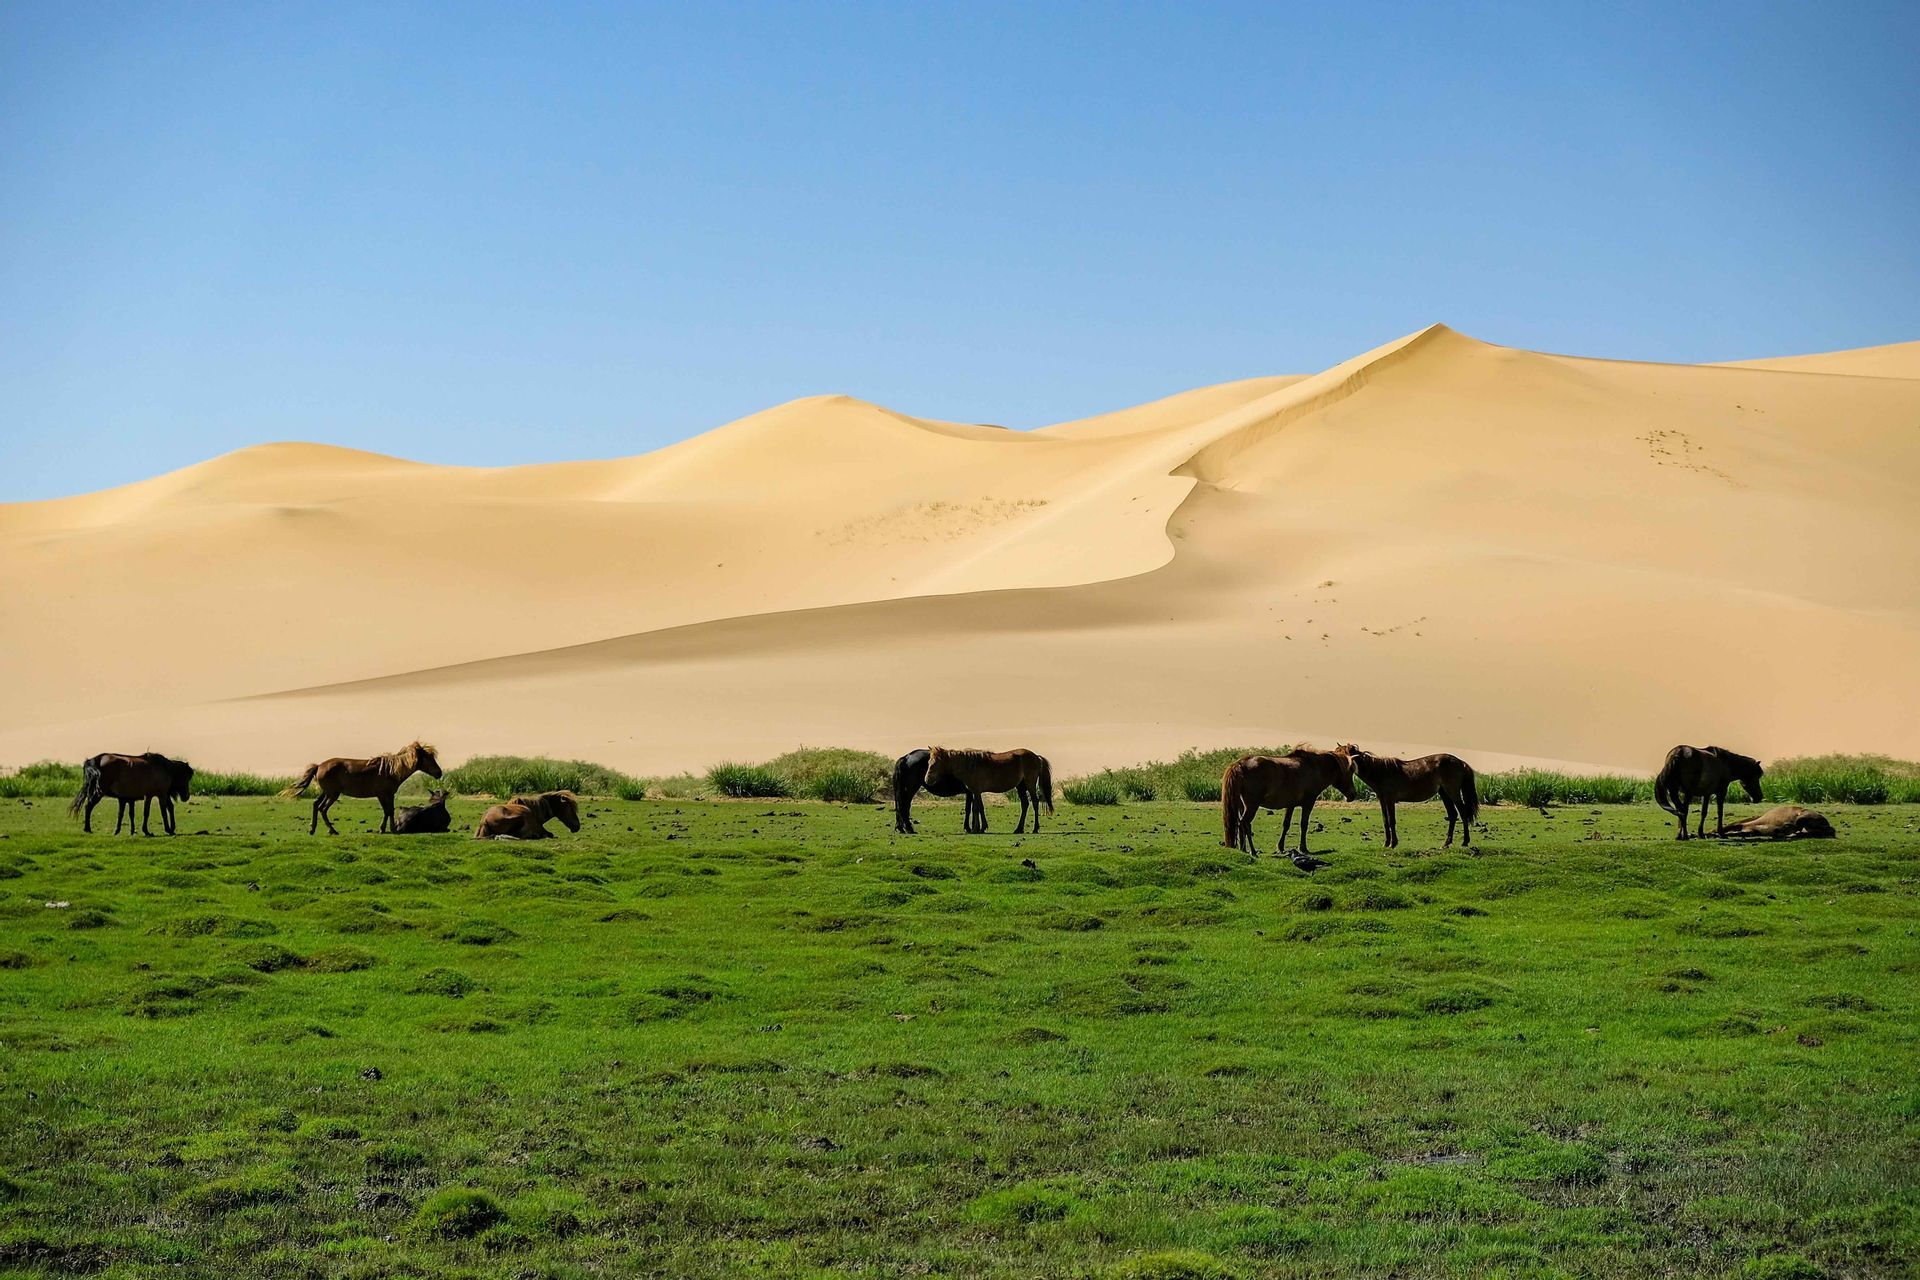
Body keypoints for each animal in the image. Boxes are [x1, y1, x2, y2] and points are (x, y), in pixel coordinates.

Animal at [280, 741, 443, 835]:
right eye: (429, 758)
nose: (439, 773)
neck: (390, 770)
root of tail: (319, 766)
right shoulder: (383, 794)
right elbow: (388, 810)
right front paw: (387, 829)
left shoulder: (388, 795)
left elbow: (389, 810)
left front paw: (388, 828)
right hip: (332, 794)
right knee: (322, 809)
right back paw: (332, 830)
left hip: (326, 792)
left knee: (315, 805)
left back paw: (313, 829)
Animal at [922, 747, 1054, 834]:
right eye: (928, 762)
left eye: (935, 763)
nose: (927, 779)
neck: (970, 765)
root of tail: (1036, 757)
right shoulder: (975, 792)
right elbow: (978, 808)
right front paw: (979, 828)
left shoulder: (976, 791)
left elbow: (977, 808)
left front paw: (977, 828)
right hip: (1020, 786)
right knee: (1025, 804)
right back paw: (1018, 829)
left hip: (1030, 785)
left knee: (1035, 802)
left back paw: (1035, 828)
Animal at [1220, 746, 1355, 860]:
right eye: (1350, 772)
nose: (1353, 795)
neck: (1313, 768)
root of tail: (1239, 764)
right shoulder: (1308, 803)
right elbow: (1304, 824)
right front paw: (1303, 848)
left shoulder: (1290, 805)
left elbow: (1286, 824)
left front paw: (1280, 847)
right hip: (1252, 806)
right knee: (1245, 824)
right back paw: (1252, 851)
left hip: (1242, 806)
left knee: (1240, 825)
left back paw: (1243, 849)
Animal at [1342, 746, 1479, 849]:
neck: (1381, 772)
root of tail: (1461, 762)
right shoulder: (1382, 800)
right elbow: (1385, 820)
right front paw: (1386, 843)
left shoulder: (1390, 800)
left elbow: (1391, 820)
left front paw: (1393, 843)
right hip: (1444, 793)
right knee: (1453, 815)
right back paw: (1446, 843)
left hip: (1453, 793)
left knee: (1462, 813)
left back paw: (1465, 841)